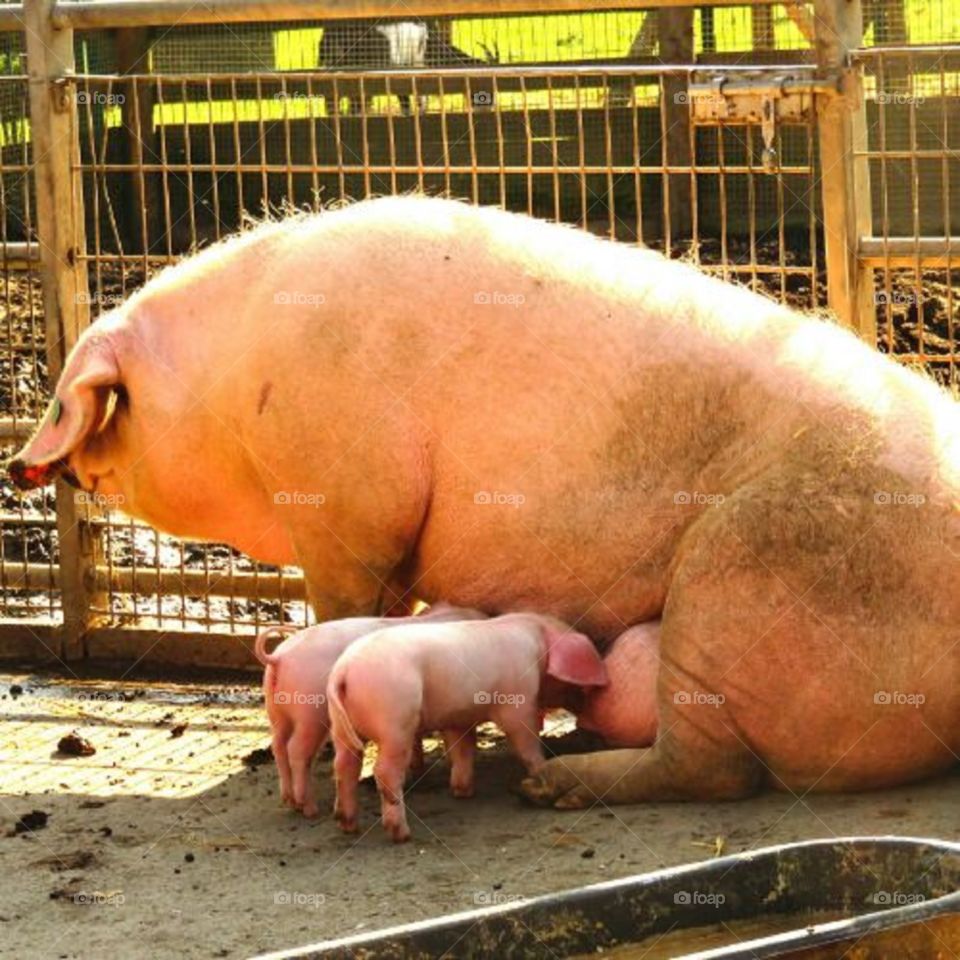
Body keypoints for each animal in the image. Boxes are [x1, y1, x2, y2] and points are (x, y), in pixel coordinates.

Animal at [254, 602, 484, 818]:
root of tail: (279, 658)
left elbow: (417, 738)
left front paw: (417, 768)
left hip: (276, 711)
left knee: (278, 745)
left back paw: (289, 800)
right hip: (309, 711)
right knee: (297, 750)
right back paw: (310, 809)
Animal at [326, 612, 608, 841]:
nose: (586, 714)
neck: (537, 643)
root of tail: (344, 670)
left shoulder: (458, 717)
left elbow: (462, 749)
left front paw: (463, 792)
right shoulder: (518, 700)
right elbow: (524, 739)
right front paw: (542, 765)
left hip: (340, 727)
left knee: (344, 765)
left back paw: (347, 825)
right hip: (394, 721)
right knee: (384, 771)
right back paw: (402, 834)